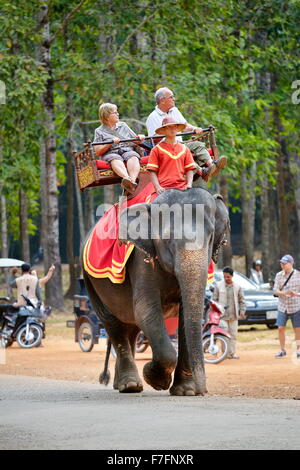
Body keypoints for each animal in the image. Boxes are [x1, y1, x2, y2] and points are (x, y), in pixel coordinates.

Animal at [82, 187, 230, 396]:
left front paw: (185, 391)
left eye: (210, 239)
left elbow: (185, 318)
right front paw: (157, 380)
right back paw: (130, 385)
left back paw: (123, 384)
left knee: (131, 328)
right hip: (90, 282)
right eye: (167, 238)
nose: (203, 391)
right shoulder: (141, 259)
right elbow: (146, 310)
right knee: (113, 323)